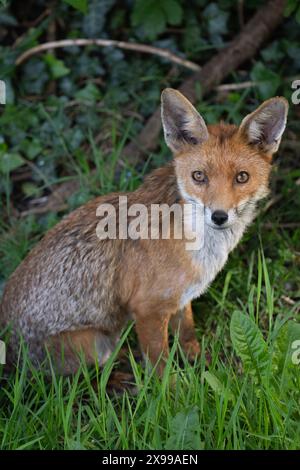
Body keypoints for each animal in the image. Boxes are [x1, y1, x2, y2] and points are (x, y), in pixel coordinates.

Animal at [0, 88, 288, 374]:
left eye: (242, 177)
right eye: (198, 176)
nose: (219, 216)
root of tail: (10, 345)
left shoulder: (181, 299)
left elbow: (188, 335)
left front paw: (199, 365)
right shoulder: (148, 309)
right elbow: (160, 367)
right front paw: (173, 384)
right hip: (96, 345)